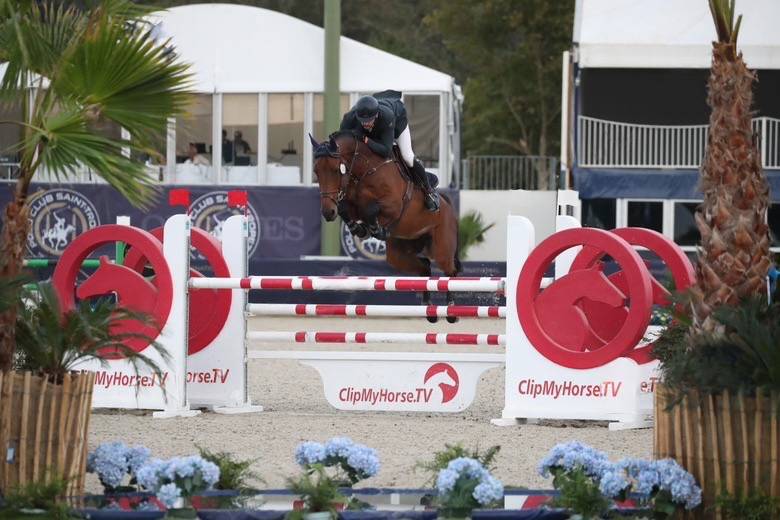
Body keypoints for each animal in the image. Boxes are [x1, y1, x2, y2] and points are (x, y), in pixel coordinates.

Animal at [310, 132, 461, 323]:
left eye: (336, 169)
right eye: (316, 171)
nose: (328, 212)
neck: (364, 170)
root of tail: (447, 204)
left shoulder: (393, 205)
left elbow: (371, 209)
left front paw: (375, 229)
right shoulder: (351, 204)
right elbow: (346, 208)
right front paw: (360, 229)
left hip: (441, 248)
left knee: (450, 272)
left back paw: (451, 311)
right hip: (398, 254)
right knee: (425, 267)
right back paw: (429, 310)